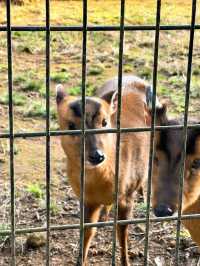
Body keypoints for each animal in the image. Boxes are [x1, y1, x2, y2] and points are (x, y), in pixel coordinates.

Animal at [57, 76, 155, 264]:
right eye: (71, 125)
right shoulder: (85, 199)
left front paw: (126, 262)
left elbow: (122, 232)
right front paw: (80, 260)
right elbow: (87, 232)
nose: (97, 155)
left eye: (104, 122)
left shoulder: (126, 194)